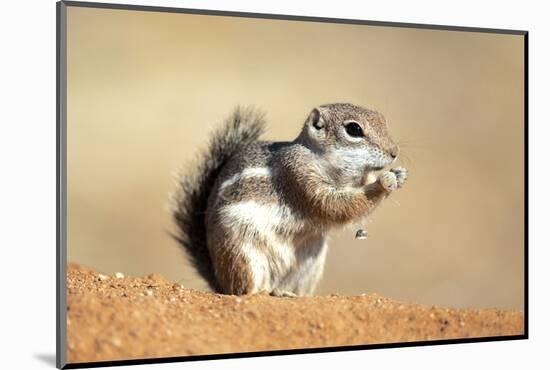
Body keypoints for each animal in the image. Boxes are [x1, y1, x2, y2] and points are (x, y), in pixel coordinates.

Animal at [172, 103, 410, 298]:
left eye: (382, 119)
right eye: (354, 129)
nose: (394, 152)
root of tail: (219, 280)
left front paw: (399, 175)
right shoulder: (298, 176)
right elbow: (335, 205)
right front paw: (383, 183)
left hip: (310, 265)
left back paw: (287, 293)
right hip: (241, 253)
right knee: (244, 290)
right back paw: (265, 291)